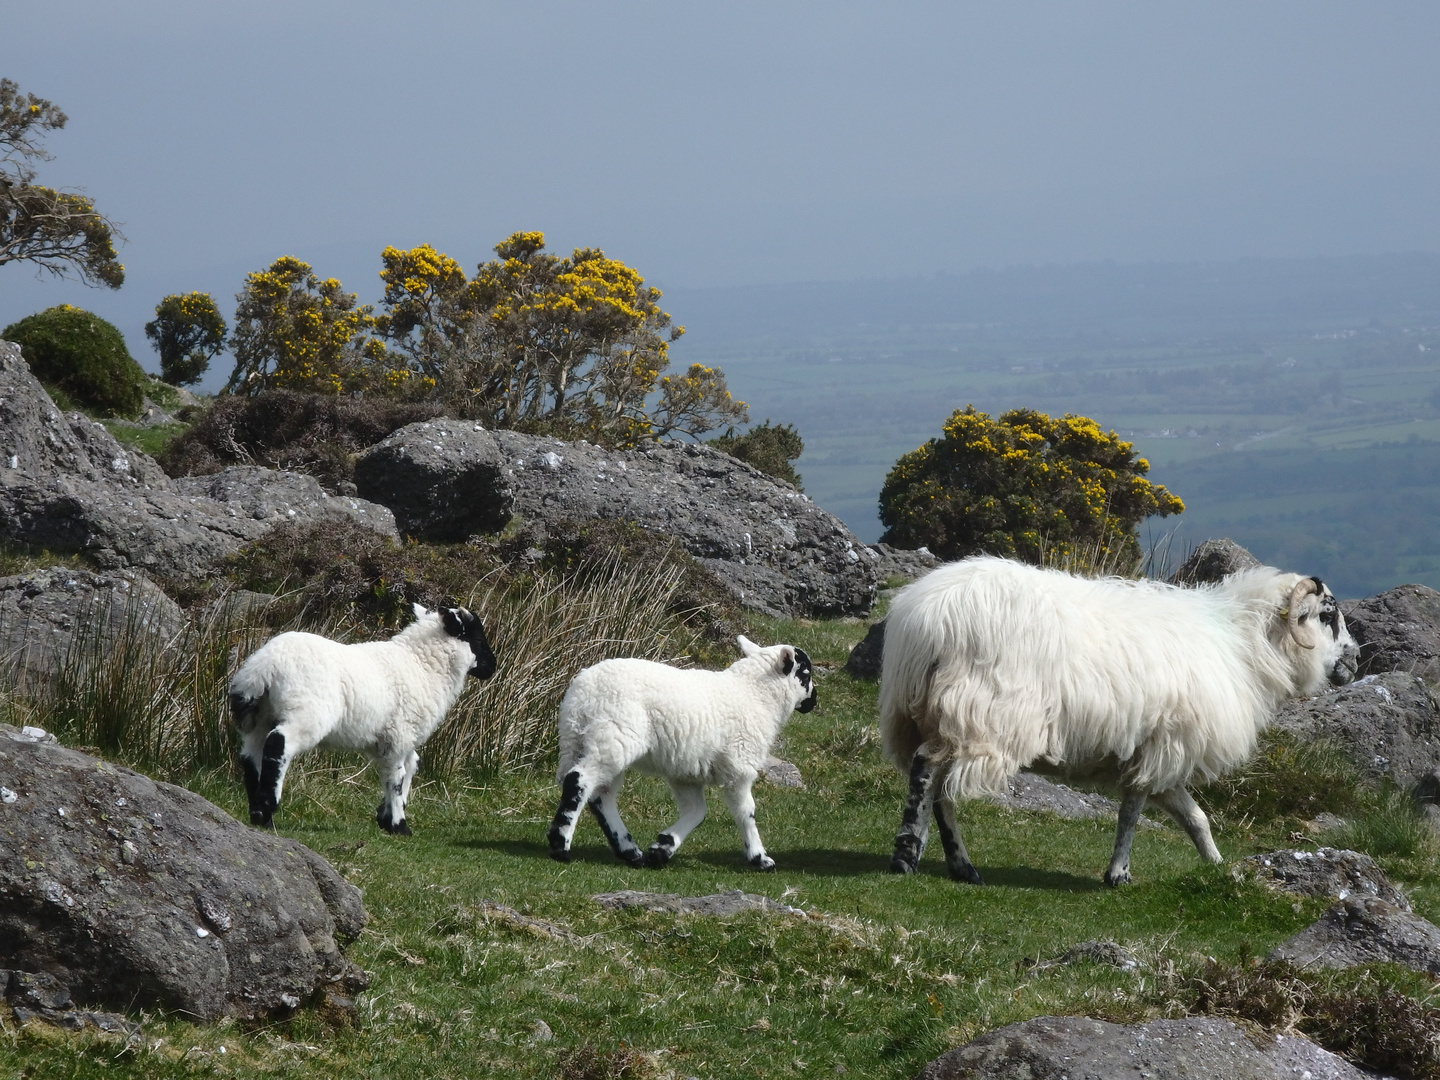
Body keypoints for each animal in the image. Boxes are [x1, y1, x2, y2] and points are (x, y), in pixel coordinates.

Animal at [227, 604, 492, 835]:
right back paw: (267, 808)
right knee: (278, 744)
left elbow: (410, 766)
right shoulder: (399, 734)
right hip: (305, 712)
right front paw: (398, 825)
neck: (422, 665)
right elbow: (396, 777)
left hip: (261, 717)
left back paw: (260, 815)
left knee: (251, 754)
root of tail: (262, 667)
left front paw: (385, 816)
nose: (493, 667)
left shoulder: (397, 738)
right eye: (478, 639)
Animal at [544, 639, 817, 875]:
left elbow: (696, 812)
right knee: (579, 781)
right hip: (613, 736)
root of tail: (582, 693)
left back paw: (631, 853)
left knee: (602, 795)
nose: (813, 702)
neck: (756, 695)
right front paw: (760, 858)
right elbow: (745, 812)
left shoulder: (687, 772)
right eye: (805, 674)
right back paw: (561, 846)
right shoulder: (740, 765)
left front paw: (662, 848)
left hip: (589, 741)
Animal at [875, 558, 1359, 887]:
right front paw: (1118, 874)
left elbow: (1195, 817)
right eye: (1327, 615)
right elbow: (1131, 814)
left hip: (927, 713)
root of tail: (927, 618)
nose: (1355, 661)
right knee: (929, 772)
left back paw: (954, 864)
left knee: (939, 787)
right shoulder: (1163, 745)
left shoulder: (1162, 752)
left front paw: (1220, 867)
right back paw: (910, 855)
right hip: (980, 713)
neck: (1243, 647)